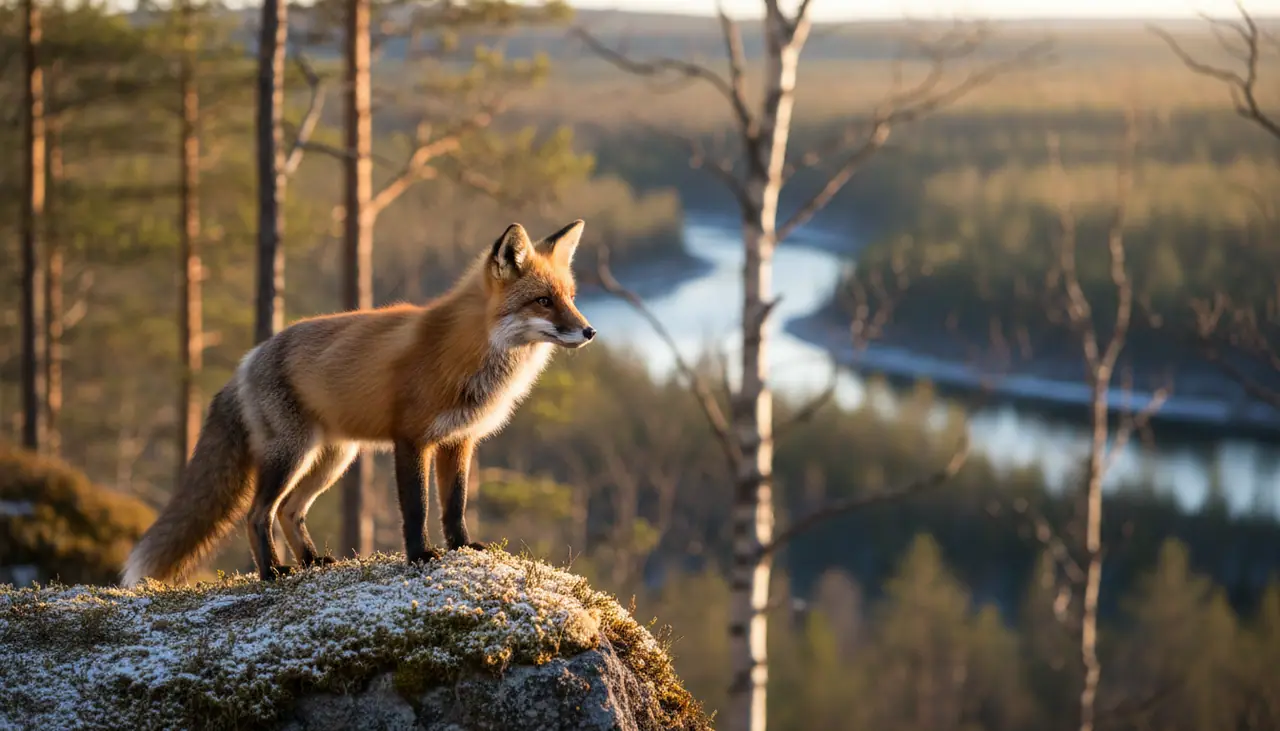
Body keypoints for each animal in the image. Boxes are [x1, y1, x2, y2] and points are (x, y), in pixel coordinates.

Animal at [122, 220, 596, 586]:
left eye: (571, 297)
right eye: (543, 301)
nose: (590, 331)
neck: (470, 350)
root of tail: (248, 359)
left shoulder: (459, 441)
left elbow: (455, 506)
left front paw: (463, 549)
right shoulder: (411, 439)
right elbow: (417, 508)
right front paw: (420, 556)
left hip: (332, 459)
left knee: (290, 511)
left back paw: (311, 561)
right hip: (291, 455)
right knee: (258, 514)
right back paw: (272, 572)